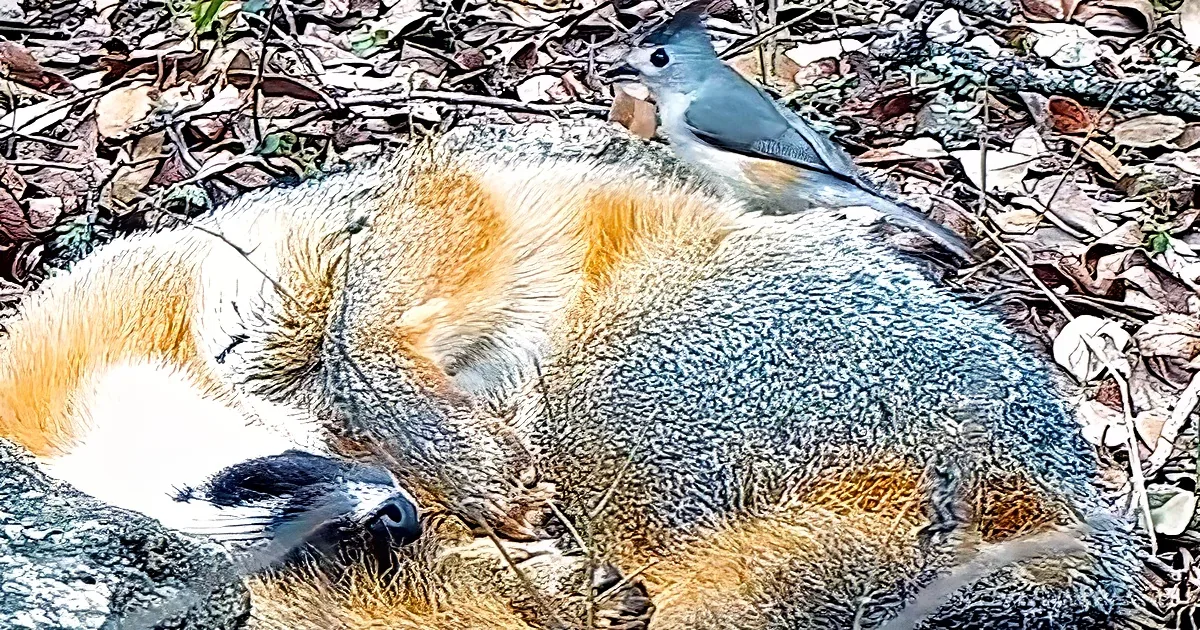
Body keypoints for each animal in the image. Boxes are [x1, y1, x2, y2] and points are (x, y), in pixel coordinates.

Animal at [0, 123, 1142, 629]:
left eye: (256, 479)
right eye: (298, 541)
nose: (397, 516)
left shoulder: (381, 219)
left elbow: (361, 335)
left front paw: (462, 458)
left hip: (603, 403)